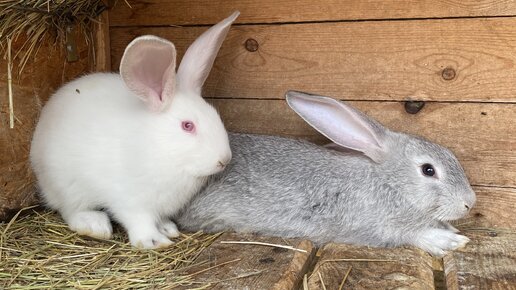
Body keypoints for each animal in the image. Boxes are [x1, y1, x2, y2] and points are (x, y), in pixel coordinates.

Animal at [28, 10, 238, 247]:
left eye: (215, 115)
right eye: (187, 125)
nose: (224, 159)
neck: (162, 150)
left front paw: (168, 229)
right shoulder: (131, 201)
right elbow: (140, 222)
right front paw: (154, 242)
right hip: (67, 186)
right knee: (70, 211)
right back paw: (95, 225)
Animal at [177, 90, 476, 256]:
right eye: (428, 170)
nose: (469, 203)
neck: (390, 183)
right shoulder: (370, 226)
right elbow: (407, 235)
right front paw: (447, 240)